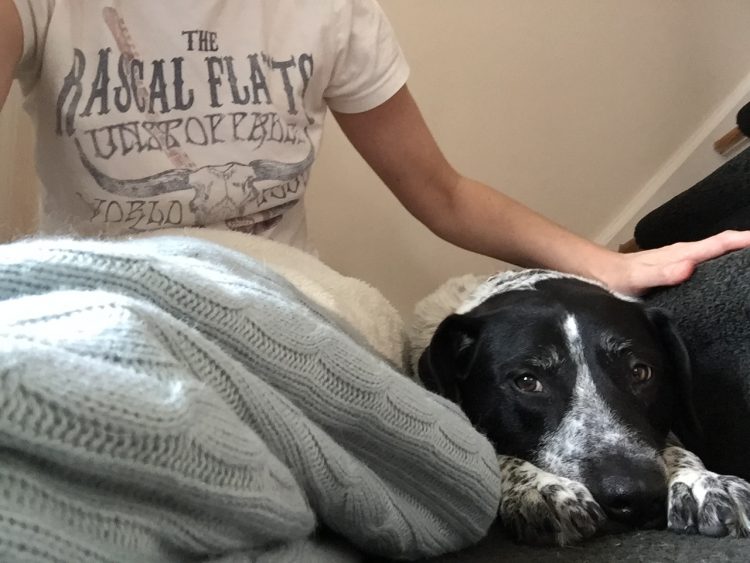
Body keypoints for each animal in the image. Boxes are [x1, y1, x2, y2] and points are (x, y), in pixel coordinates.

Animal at [412, 272, 750, 548]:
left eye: (640, 372)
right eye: (527, 381)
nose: (636, 496)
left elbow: (674, 446)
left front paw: (699, 479)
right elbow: (489, 447)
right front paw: (538, 486)